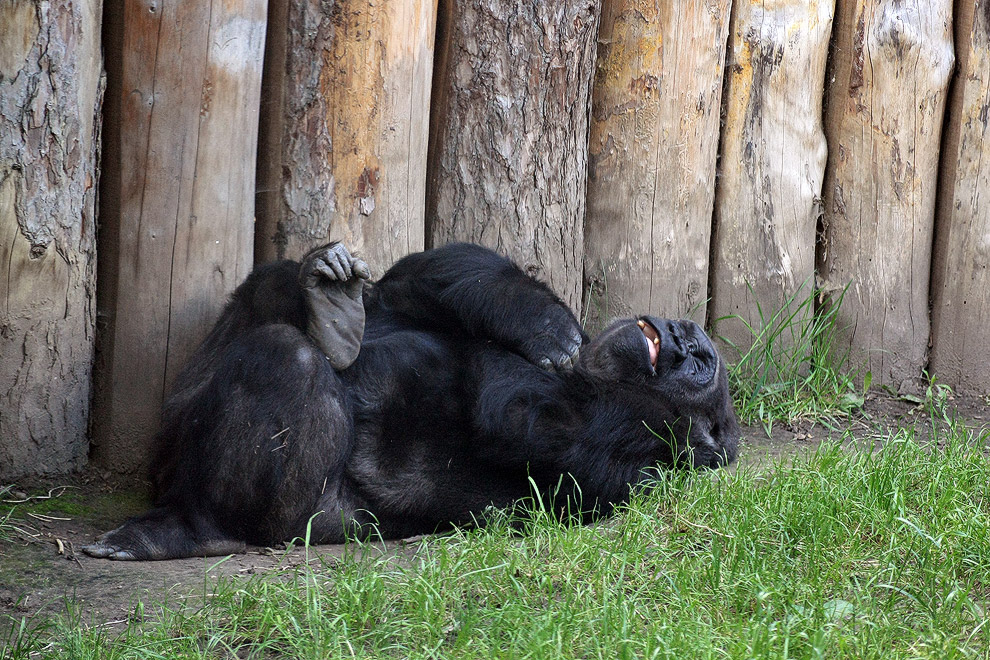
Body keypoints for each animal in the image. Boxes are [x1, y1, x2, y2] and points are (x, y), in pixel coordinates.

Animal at [85, 240, 740, 560]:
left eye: (701, 367)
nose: (688, 338)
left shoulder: (633, 438)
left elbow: (507, 411)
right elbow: (424, 276)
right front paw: (541, 319)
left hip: (293, 520)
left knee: (286, 359)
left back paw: (194, 530)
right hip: (179, 412)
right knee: (278, 289)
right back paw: (328, 308)